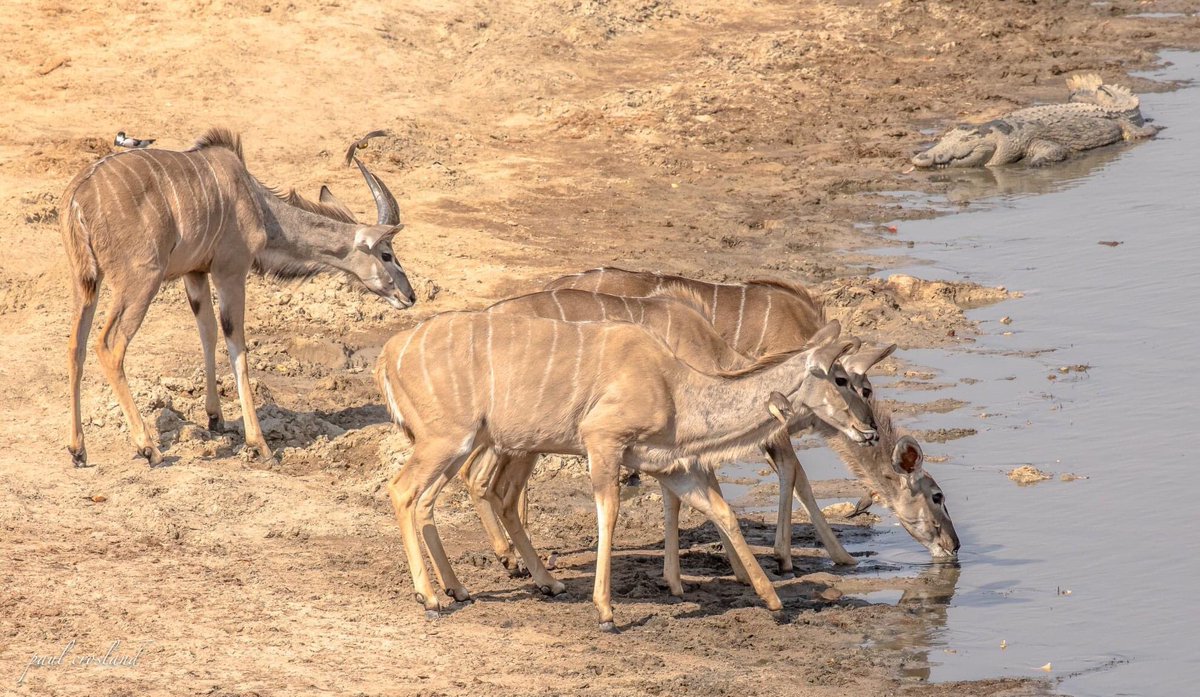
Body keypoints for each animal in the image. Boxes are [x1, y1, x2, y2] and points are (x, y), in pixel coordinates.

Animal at [62, 130, 417, 467]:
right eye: (386, 254)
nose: (410, 296)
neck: (256, 202)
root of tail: (80, 196)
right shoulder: (230, 271)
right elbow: (237, 343)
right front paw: (259, 444)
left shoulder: (195, 273)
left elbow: (207, 331)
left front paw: (215, 418)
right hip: (140, 282)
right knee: (108, 346)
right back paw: (148, 448)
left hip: (86, 283)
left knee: (76, 346)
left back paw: (78, 450)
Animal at [374, 311, 873, 628]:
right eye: (840, 379)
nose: (866, 430)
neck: (674, 386)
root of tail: (388, 353)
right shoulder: (603, 441)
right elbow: (608, 514)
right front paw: (605, 612)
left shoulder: (668, 466)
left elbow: (721, 511)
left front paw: (771, 599)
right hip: (446, 441)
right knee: (402, 491)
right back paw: (431, 596)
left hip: (460, 444)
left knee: (431, 500)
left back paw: (479, 588)